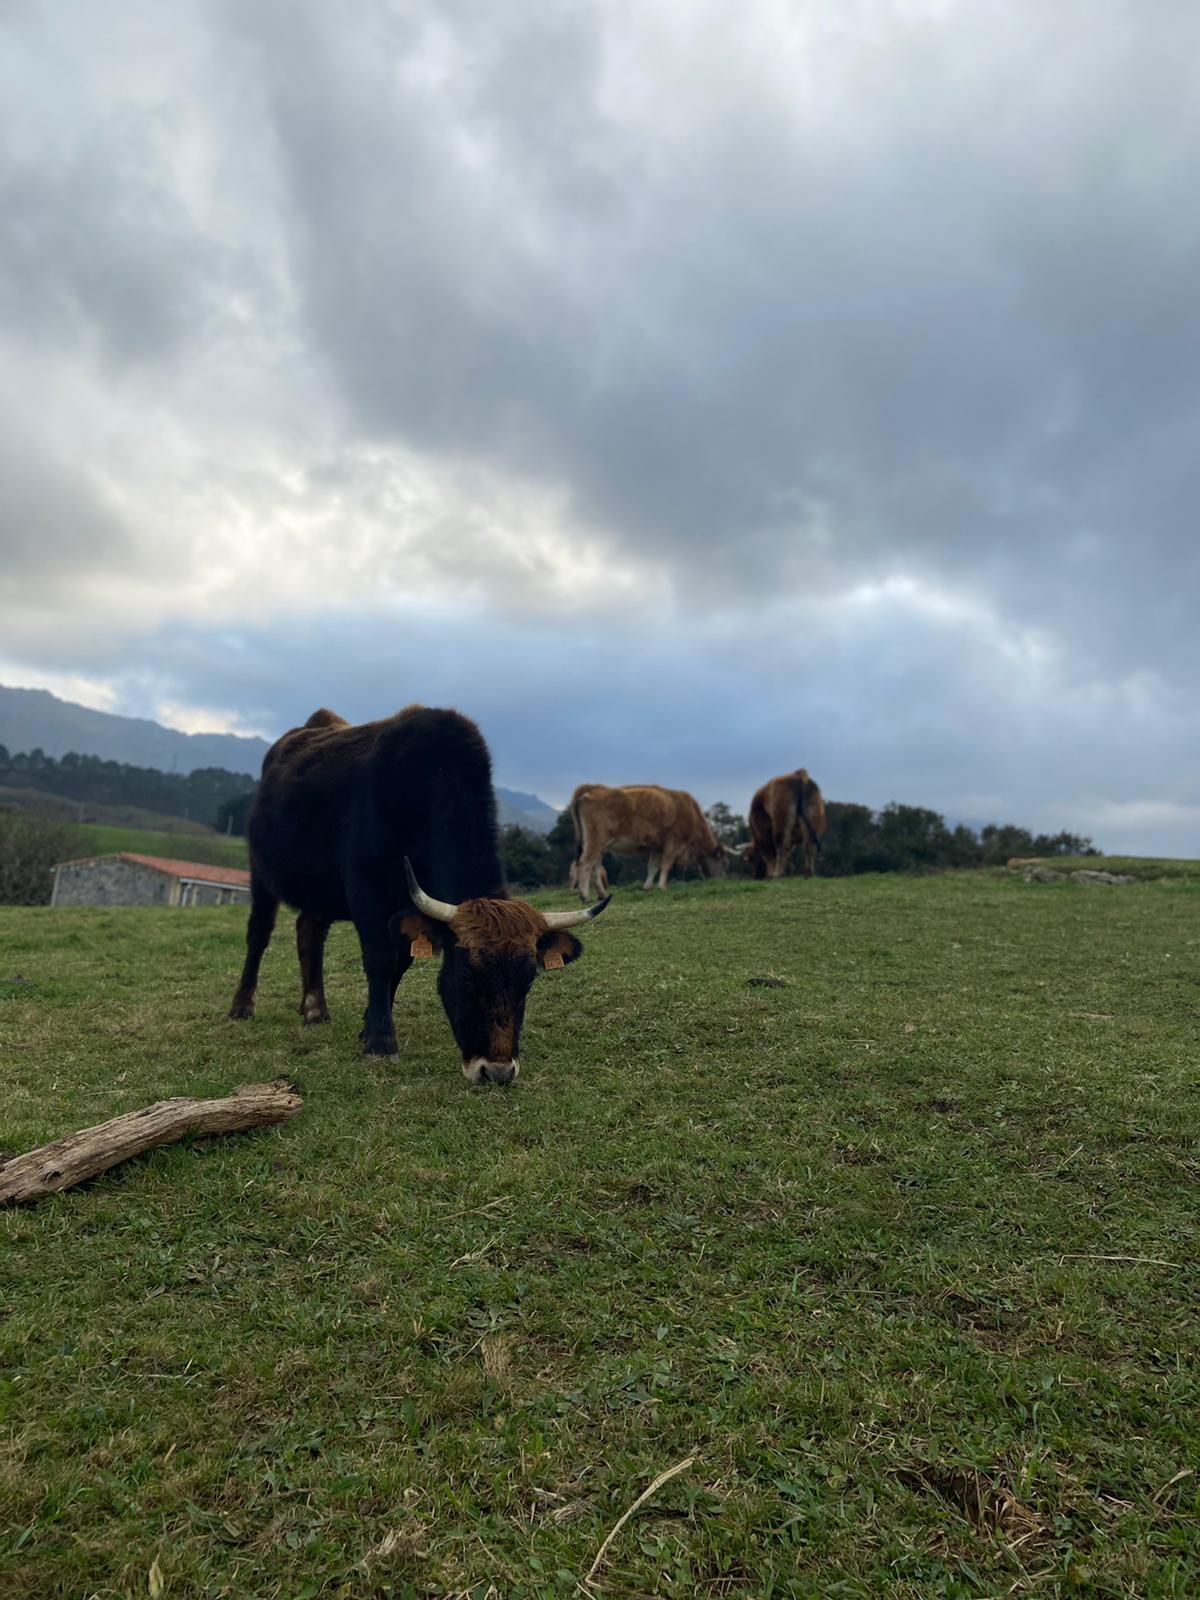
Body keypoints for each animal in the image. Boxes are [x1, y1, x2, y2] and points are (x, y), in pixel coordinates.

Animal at [228, 707, 611, 1081]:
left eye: (528, 980)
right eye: (467, 975)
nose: (497, 1071)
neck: (427, 788)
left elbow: (402, 963)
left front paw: (368, 1028)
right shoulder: (366, 892)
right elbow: (381, 960)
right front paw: (381, 1043)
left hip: (318, 890)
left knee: (309, 931)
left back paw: (314, 1009)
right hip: (260, 872)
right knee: (258, 934)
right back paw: (242, 1006)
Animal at [569, 784, 729, 908]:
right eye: (723, 862)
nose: (721, 880)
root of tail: (590, 790)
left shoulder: (657, 847)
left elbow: (653, 867)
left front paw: (647, 887)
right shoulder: (673, 842)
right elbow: (666, 865)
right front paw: (662, 886)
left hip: (598, 845)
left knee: (595, 868)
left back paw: (602, 895)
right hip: (596, 841)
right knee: (585, 863)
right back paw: (585, 897)